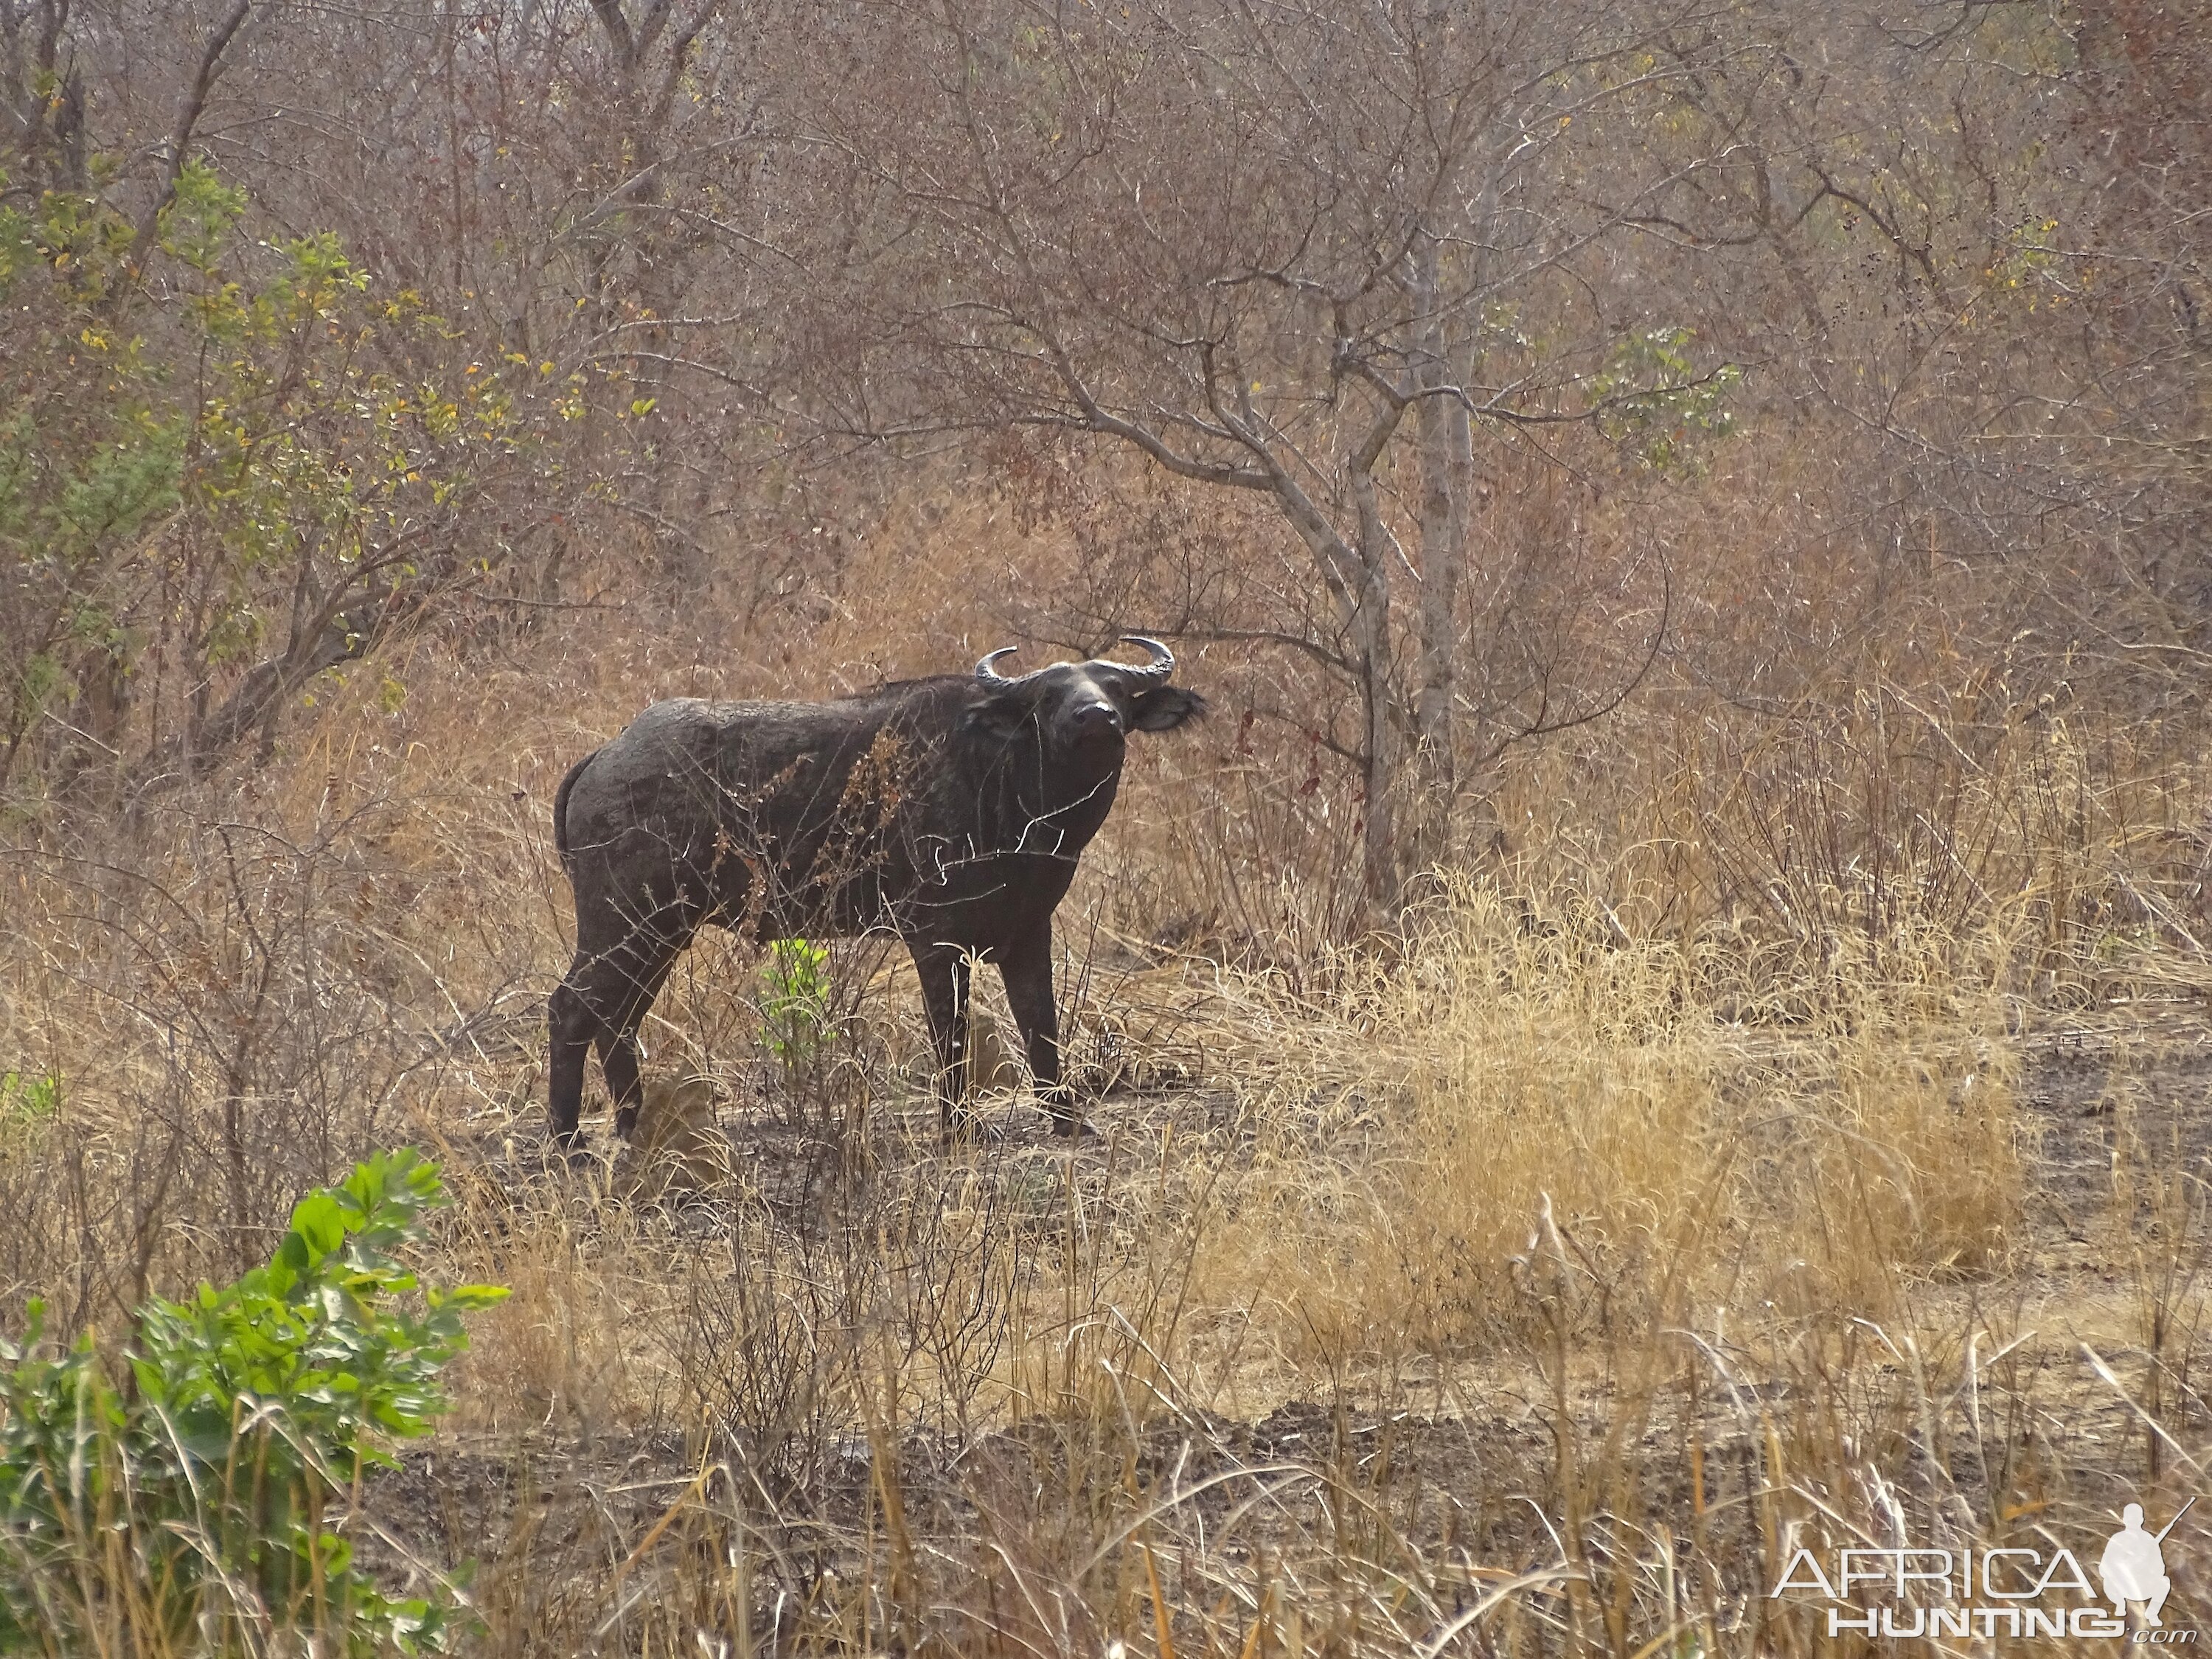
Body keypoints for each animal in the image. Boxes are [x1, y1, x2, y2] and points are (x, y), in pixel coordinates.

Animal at [553, 637, 1212, 1141]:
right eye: (1049, 696)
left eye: (1116, 689)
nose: (1095, 717)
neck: (1013, 790)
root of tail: (606, 755)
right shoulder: (936, 941)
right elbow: (950, 1035)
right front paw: (960, 1128)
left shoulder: (1029, 933)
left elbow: (1040, 1025)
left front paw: (1069, 1120)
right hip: (623, 924)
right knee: (572, 1008)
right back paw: (569, 1141)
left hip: (663, 932)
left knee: (618, 1018)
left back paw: (632, 1125)